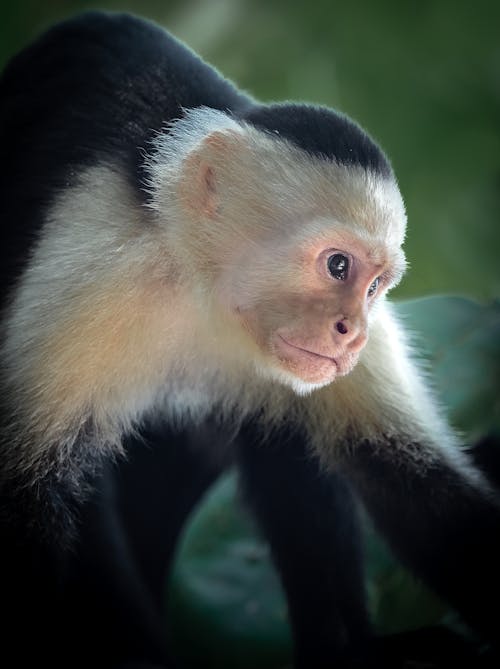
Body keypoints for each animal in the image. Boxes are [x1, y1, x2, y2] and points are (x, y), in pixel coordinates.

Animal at [0, 9, 500, 668]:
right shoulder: (98, 267)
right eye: (337, 266)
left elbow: (418, 488)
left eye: (375, 287)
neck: (203, 292)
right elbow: (25, 489)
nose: (352, 335)